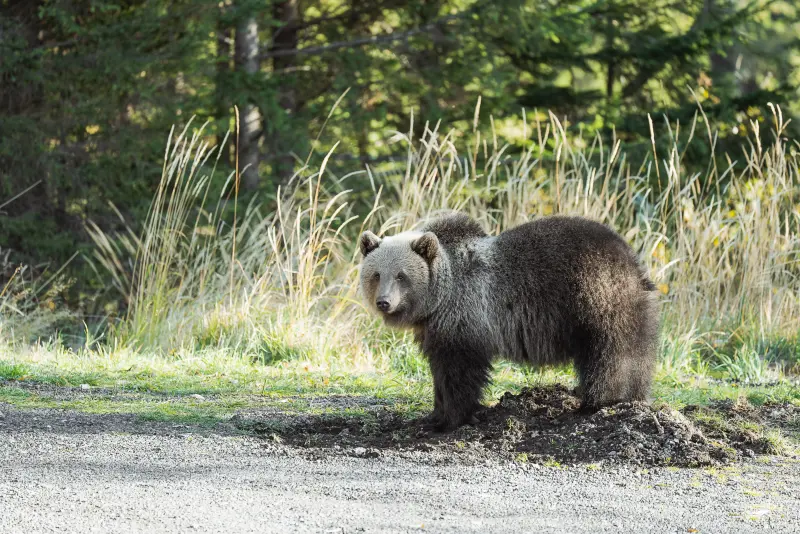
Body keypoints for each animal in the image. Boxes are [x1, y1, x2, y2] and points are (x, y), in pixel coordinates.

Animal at [358, 212, 660, 432]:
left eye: (401, 275)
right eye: (376, 274)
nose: (384, 302)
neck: (439, 298)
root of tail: (632, 261)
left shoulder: (465, 316)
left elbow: (460, 371)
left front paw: (452, 419)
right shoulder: (435, 328)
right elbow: (440, 369)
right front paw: (433, 415)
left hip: (598, 301)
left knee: (612, 355)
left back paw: (599, 402)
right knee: (637, 355)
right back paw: (634, 398)